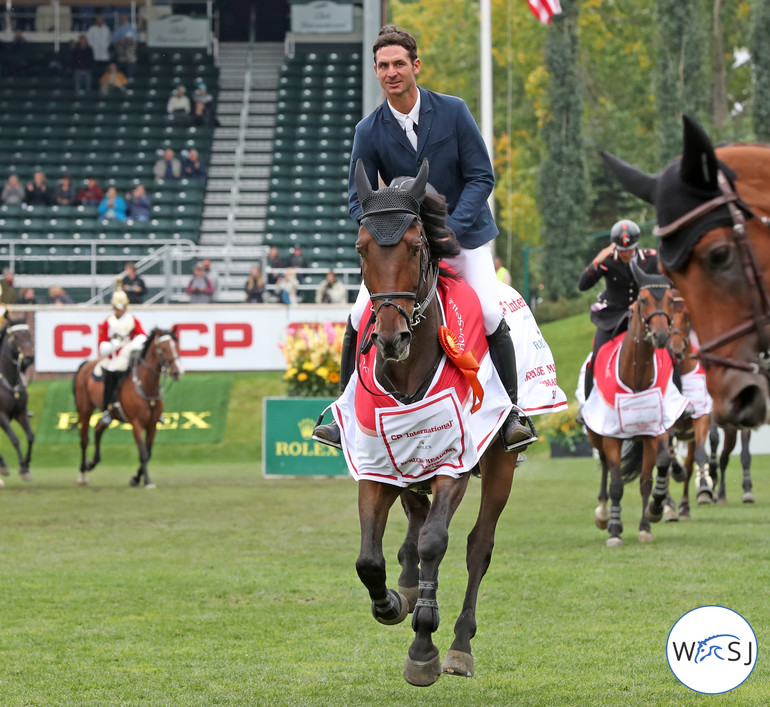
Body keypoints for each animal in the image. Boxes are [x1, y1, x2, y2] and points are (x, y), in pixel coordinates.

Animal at [73, 330, 184, 490]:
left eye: (176, 346)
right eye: (163, 349)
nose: (178, 372)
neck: (145, 385)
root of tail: (86, 364)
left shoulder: (152, 425)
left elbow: (148, 453)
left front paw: (136, 479)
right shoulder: (136, 424)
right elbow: (143, 453)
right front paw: (147, 481)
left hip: (111, 414)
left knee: (98, 429)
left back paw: (92, 463)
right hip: (85, 410)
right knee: (84, 440)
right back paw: (82, 475)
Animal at [348, 159, 516, 684]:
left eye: (416, 246)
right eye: (361, 248)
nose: (391, 338)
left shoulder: (454, 465)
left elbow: (436, 543)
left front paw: (423, 647)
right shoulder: (375, 466)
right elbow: (369, 560)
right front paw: (391, 604)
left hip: (500, 465)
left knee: (477, 546)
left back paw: (459, 644)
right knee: (416, 525)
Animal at [584, 264, 676, 548]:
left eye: (671, 301)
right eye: (643, 300)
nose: (660, 336)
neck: (635, 377)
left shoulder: (654, 430)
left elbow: (656, 470)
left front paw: (652, 514)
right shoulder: (611, 436)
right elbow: (616, 485)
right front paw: (614, 529)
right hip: (596, 433)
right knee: (604, 465)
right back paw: (603, 514)